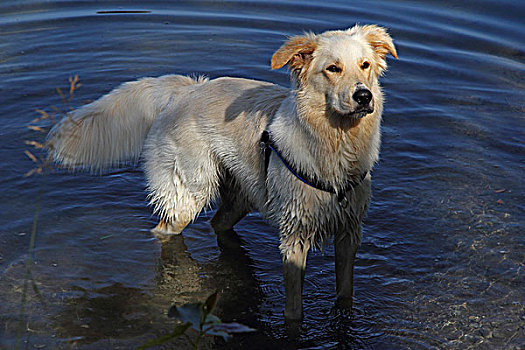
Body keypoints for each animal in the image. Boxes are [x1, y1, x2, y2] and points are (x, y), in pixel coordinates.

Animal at [48, 24, 398, 320]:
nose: (363, 96)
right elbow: (294, 310)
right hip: (187, 194)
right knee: (165, 230)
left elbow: (345, 292)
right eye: (332, 69)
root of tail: (187, 90)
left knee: (218, 223)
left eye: (365, 65)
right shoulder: (294, 237)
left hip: (242, 196)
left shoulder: (349, 232)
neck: (335, 145)